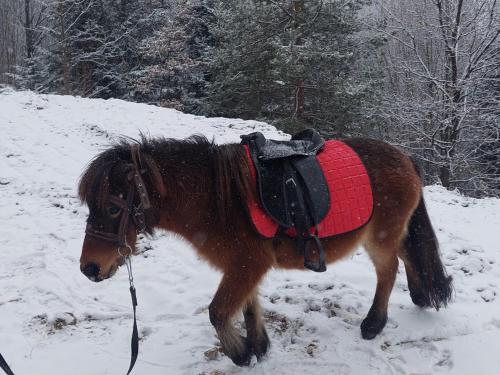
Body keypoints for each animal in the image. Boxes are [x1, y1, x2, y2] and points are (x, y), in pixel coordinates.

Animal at [78, 135, 454, 368]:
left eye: (112, 209)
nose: (89, 268)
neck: (217, 199)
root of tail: (405, 158)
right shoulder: (245, 266)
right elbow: (248, 306)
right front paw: (258, 346)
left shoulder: (246, 264)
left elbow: (218, 312)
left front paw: (241, 354)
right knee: (408, 255)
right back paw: (420, 294)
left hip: (380, 237)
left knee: (389, 270)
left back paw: (374, 324)